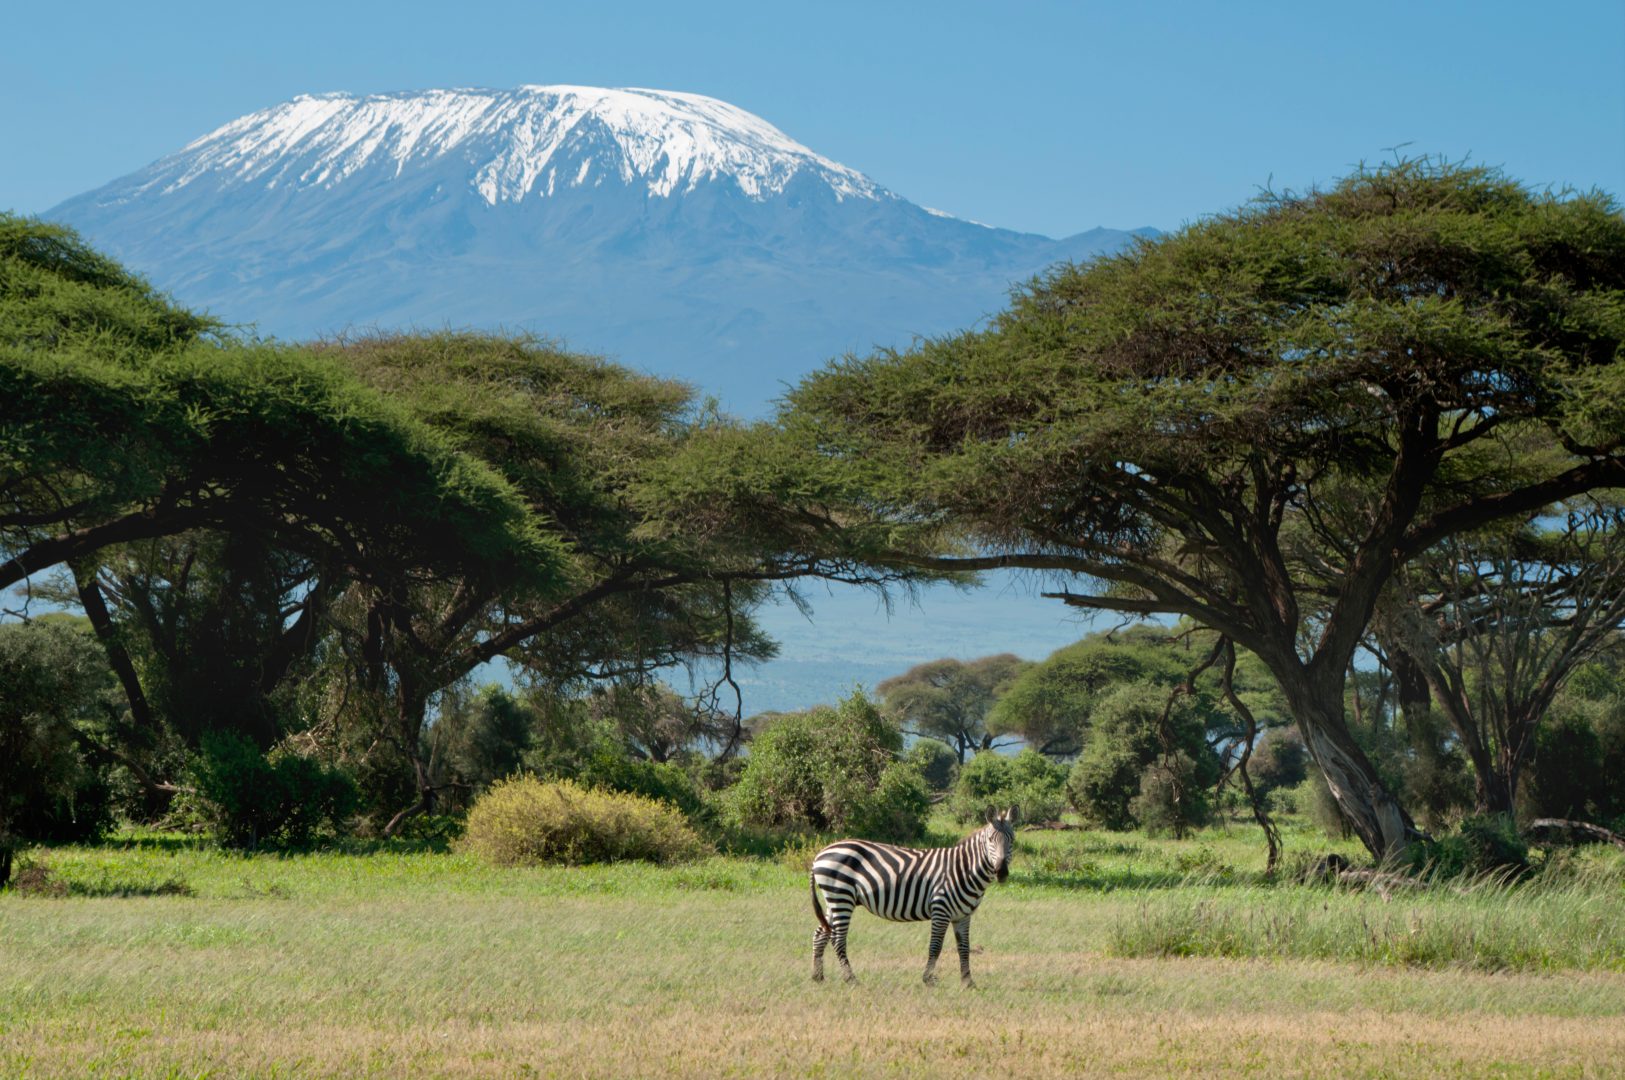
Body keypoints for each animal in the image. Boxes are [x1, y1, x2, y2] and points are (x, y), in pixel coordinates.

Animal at [809, 806, 1018, 988]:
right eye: (990, 840)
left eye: (1012, 840)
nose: (1001, 872)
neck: (963, 869)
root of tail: (820, 854)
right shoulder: (941, 910)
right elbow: (935, 946)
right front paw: (928, 979)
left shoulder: (963, 915)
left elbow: (964, 948)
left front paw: (968, 982)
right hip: (841, 896)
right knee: (838, 939)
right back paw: (851, 979)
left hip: (834, 899)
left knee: (821, 933)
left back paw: (818, 977)